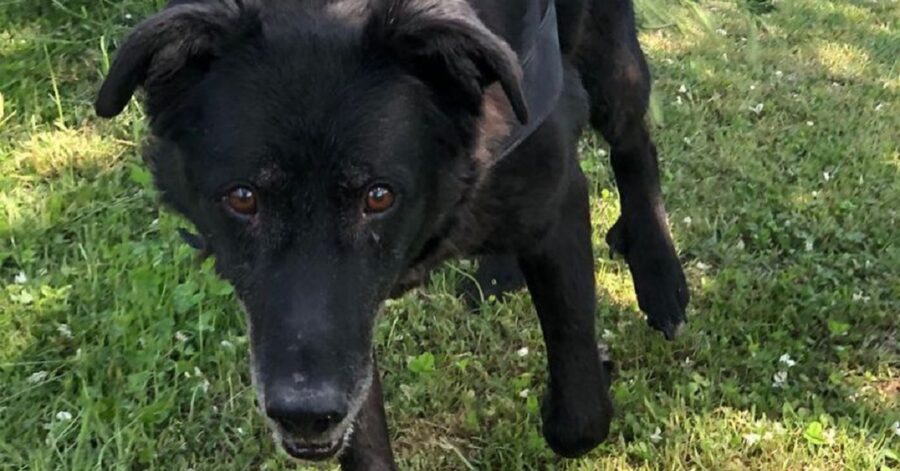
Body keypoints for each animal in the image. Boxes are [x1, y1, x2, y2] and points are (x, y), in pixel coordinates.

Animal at [96, 0, 688, 468]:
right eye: (242, 198)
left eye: (378, 196)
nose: (304, 415)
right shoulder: (342, 326)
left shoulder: (560, 195)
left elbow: (580, 417)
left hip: (605, 55)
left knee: (634, 141)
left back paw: (660, 275)